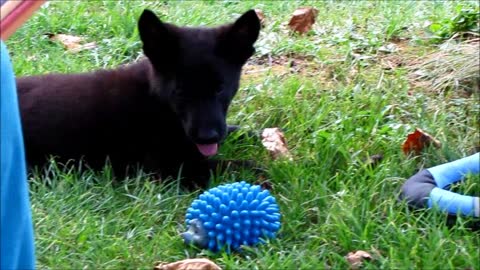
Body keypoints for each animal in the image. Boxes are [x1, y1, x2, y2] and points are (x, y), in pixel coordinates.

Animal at [16, 8, 260, 188]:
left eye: (220, 89)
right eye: (180, 91)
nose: (207, 138)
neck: (156, 100)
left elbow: (237, 131)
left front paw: (255, 135)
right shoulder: (174, 168)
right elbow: (239, 167)